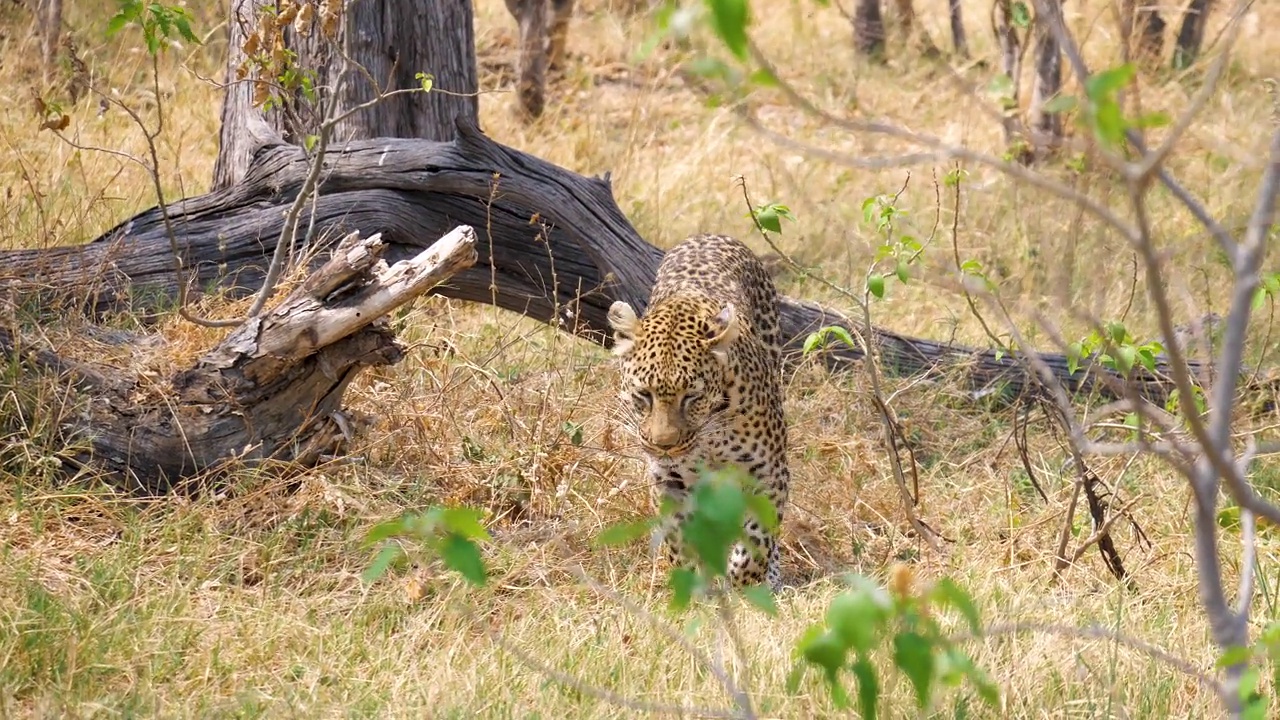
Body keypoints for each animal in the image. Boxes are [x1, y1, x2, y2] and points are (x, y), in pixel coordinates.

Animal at [606, 233, 788, 591]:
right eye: (643, 394)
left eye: (691, 396)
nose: (664, 445)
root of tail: (710, 235)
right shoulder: (669, 480)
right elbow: (680, 540)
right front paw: (694, 585)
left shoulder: (769, 472)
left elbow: (757, 538)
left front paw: (743, 584)